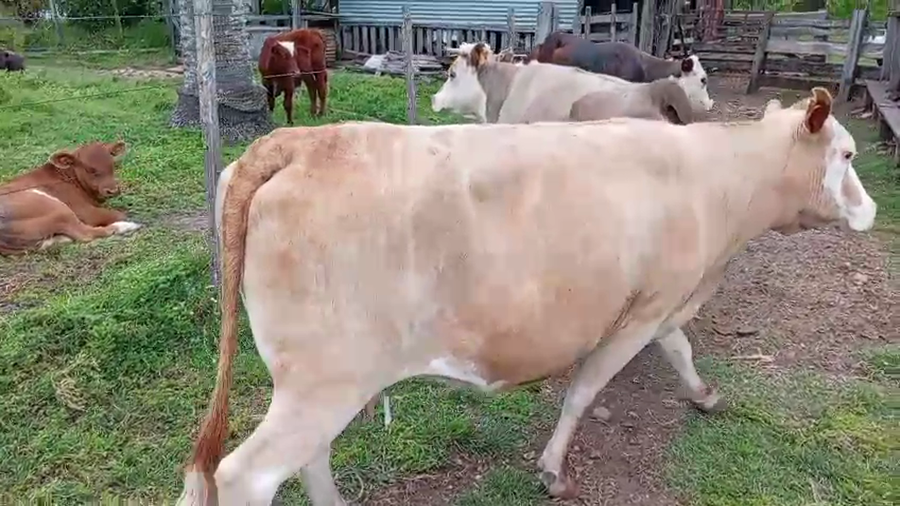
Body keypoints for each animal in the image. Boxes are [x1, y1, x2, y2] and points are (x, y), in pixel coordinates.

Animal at [0, 141, 142, 255]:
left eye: (112, 164)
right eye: (89, 169)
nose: (112, 190)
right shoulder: (86, 212)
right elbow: (119, 214)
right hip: (56, 208)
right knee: (86, 233)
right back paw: (127, 226)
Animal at [175, 87, 876, 506]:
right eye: (846, 154)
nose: (870, 210)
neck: (720, 179)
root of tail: (297, 141)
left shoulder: (664, 304)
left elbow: (679, 349)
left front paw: (704, 396)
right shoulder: (641, 309)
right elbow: (585, 389)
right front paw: (553, 470)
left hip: (316, 381)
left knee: (310, 456)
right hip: (327, 378)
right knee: (246, 475)